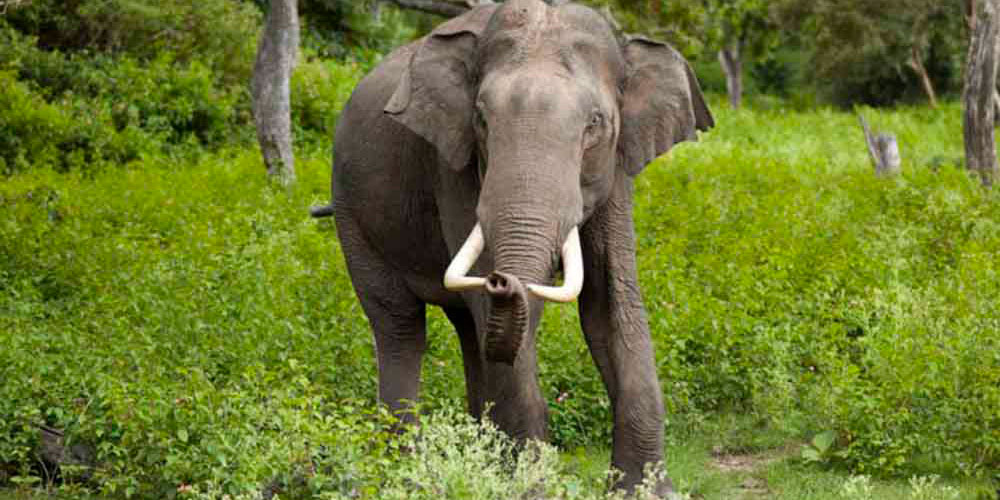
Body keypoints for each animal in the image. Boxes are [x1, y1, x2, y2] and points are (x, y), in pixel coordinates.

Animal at [312, 0, 712, 492]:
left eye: (595, 123)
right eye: (482, 119)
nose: (502, 280)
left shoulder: (618, 169)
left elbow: (611, 302)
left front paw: (647, 492)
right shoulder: (452, 165)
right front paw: (528, 487)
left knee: (469, 331)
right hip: (352, 213)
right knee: (401, 327)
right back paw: (403, 473)